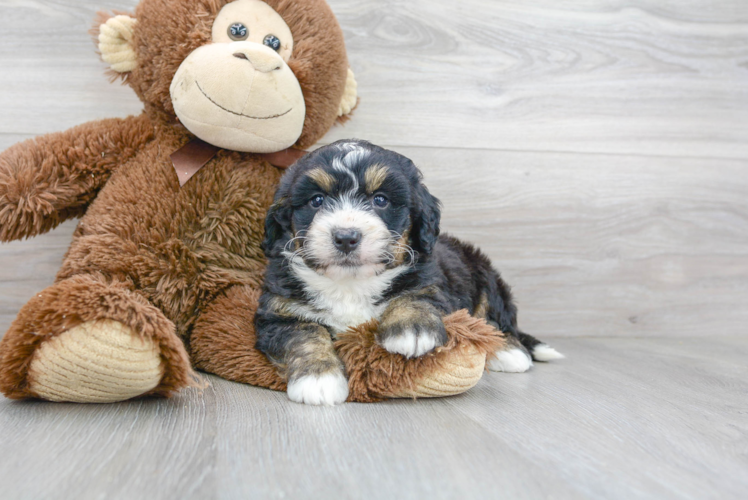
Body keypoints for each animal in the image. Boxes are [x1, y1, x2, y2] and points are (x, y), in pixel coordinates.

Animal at [256, 139, 560, 404]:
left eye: (380, 200)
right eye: (316, 200)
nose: (346, 237)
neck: (351, 283)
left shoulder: (430, 284)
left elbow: (413, 297)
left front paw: (412, 329)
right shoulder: (278, 312)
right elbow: (303, 335)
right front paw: (318, 378)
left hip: (485, 274)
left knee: (497, 318)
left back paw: (509, 352)